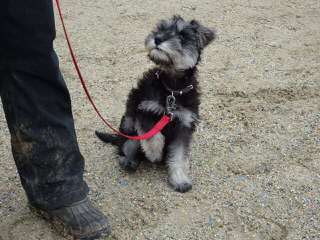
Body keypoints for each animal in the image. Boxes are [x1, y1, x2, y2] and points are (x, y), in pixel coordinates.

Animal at [95, 15, 215, 192]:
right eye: (161, 28)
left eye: (183, 36)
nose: (157, 38)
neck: (172, 88)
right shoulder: (145, 111)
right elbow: (153, 135)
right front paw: (154, 153)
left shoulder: (184, 126)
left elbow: (179, 156)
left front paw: (179, 179)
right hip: (128, 126)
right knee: (126, 146)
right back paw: (128, 161)